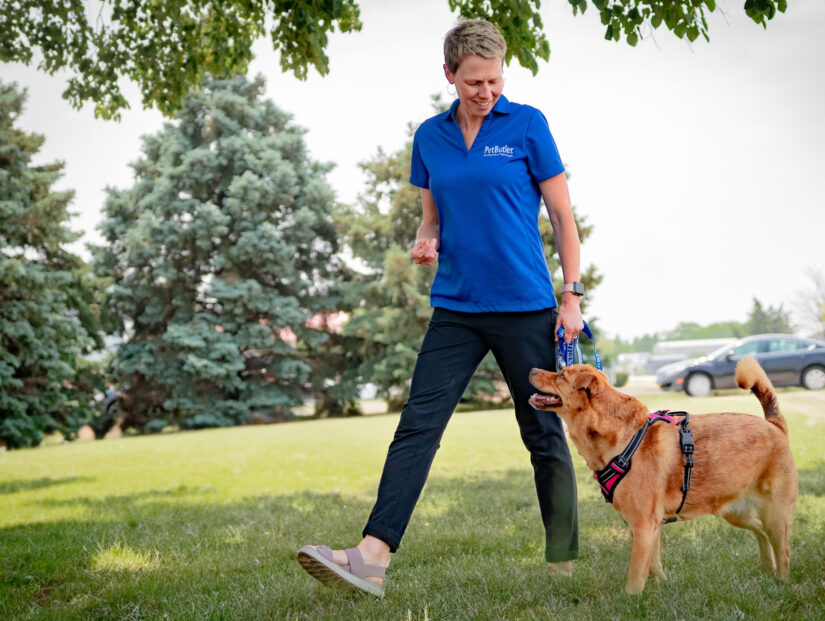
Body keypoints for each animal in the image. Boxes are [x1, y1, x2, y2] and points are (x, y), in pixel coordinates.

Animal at [532, 356, 796, 592]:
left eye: (561, 375)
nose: (532, 369)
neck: (624, 440)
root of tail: (775, 425)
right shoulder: (649, 528)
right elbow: (653, 565)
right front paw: (661, 586)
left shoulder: (643, 526)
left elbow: (635, 576)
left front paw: (631, 602)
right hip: (735, 512)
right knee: (761, 533)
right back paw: (766, 569)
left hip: (775, 514)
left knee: (783, 551)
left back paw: (781, 584)